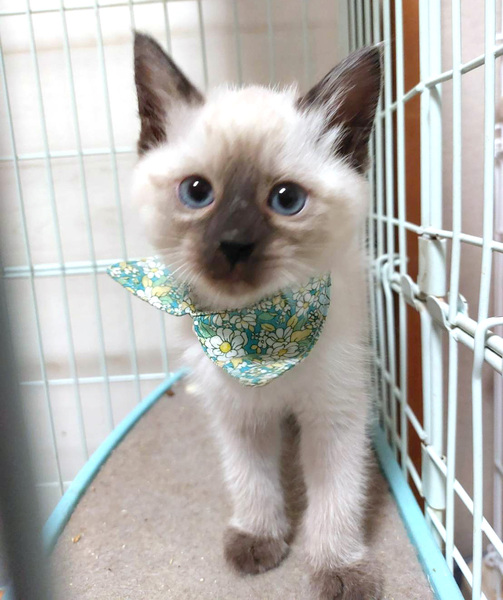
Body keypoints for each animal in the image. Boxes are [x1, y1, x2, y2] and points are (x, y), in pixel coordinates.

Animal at [132, 32, 382, 600]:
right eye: (197, 192)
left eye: (286, 200)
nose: (233, 244)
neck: (260, 332)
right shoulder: (237, 412)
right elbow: (251, 480)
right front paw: (258, 538)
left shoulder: (336, 414)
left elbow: (337, 496)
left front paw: (338, 568)